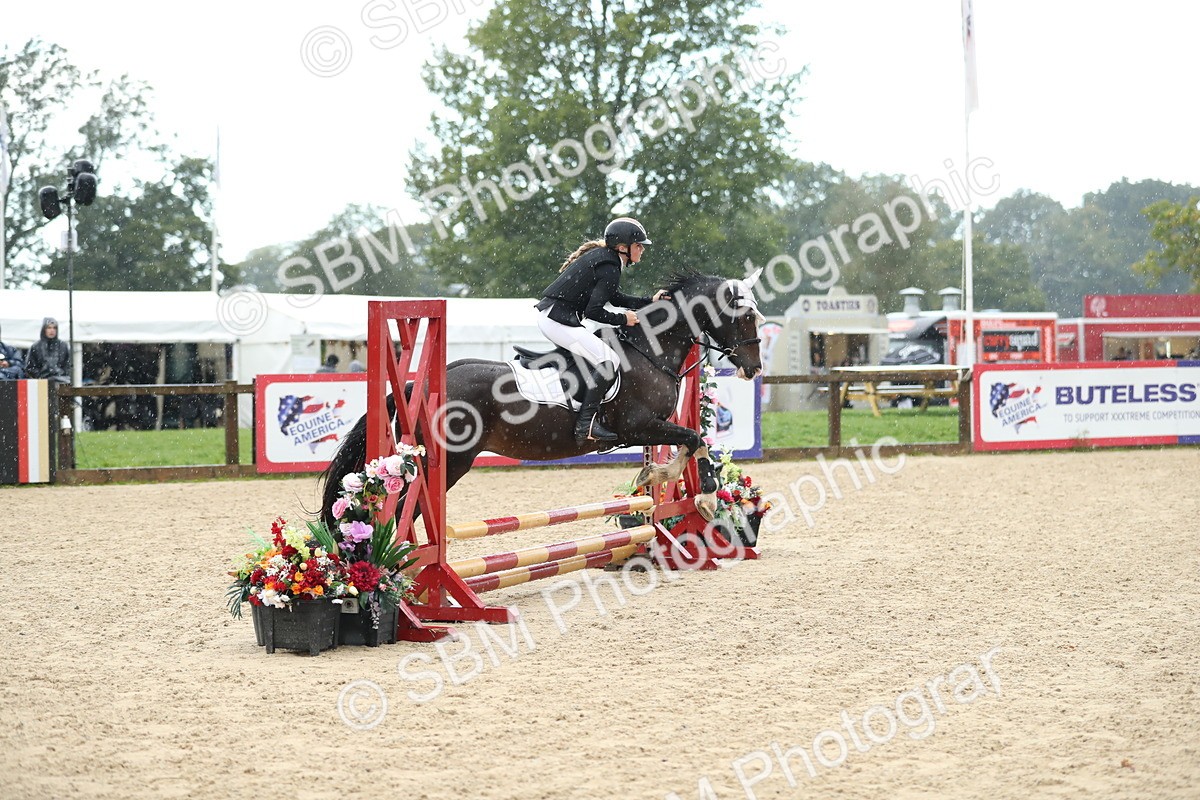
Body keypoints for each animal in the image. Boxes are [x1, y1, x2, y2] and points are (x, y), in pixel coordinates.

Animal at [319, 270, 765, 526]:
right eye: (745, 316)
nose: (754, 368)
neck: (648, 350)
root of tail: (418, 384)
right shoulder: (638, 427)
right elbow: (694, 438)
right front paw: (702, 496)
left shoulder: (650, 429)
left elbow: (691, 442)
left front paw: (655, 477)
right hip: (450, 460)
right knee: (402, 511)